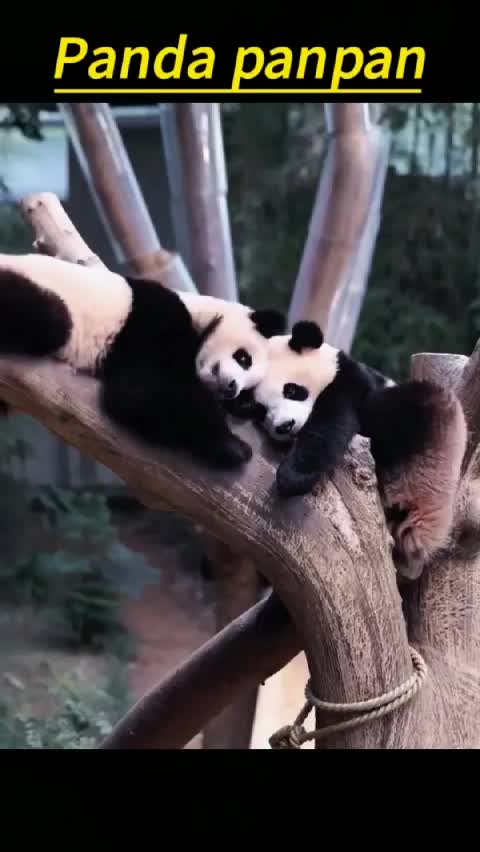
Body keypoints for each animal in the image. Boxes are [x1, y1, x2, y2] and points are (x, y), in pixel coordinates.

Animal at [0, 252, 285, 471]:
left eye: (250, 381)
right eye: (244, 358)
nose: (231, 388)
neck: (197, 313)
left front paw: (244, 407)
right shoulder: (154, 321)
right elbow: (140, 392)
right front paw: (232, 446)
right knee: (49, 319)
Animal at [241, 320, 468, 579]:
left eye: (291, 390)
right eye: (259, 409)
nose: (284, 426)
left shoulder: (347, 383)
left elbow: (333, 421)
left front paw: (293, 477)